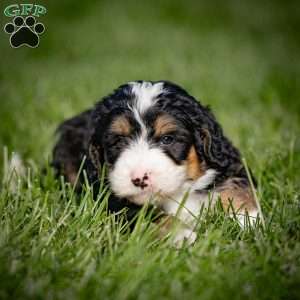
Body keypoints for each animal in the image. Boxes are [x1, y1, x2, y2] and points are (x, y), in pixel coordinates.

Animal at [52, 80, 258, 246]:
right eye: (118, 141)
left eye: (167, 139)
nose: (139, 178)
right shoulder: (112, 201)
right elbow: (151, 216)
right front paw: (182, 236)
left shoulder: (227, 164)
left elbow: (237, 189)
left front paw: (247, 221)